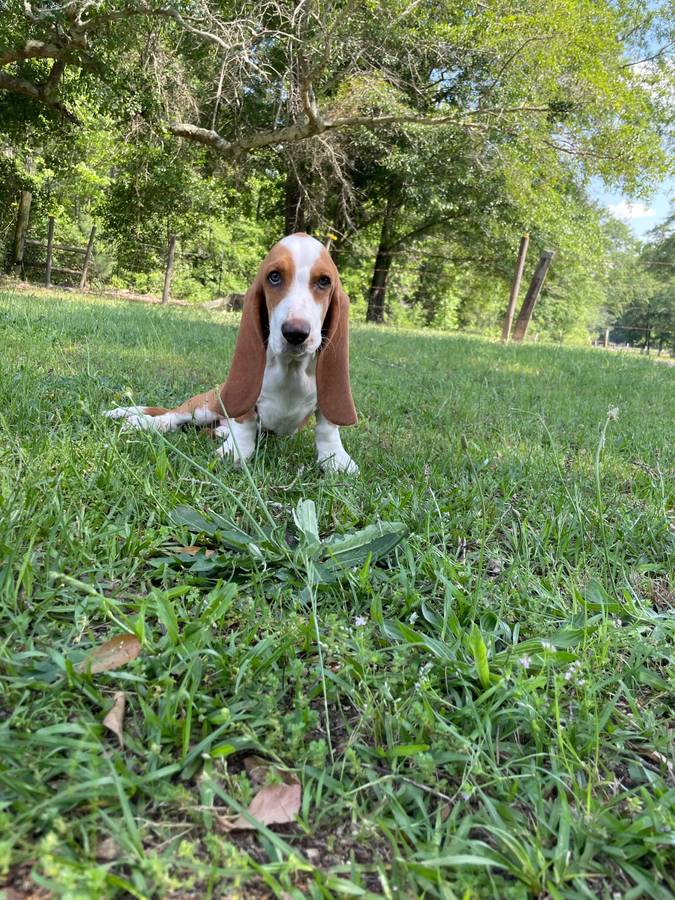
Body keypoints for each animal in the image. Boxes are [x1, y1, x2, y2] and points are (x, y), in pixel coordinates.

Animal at [105, 232, 360, 474]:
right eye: (274, 277)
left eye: (324, 281)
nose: (295, 333)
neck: (291, 368)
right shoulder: (246, 401)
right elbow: (245, 419)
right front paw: (236, 452)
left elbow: (327, 426)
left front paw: (335, 458)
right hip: (205, 407)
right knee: (171, 417)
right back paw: (139, 422)